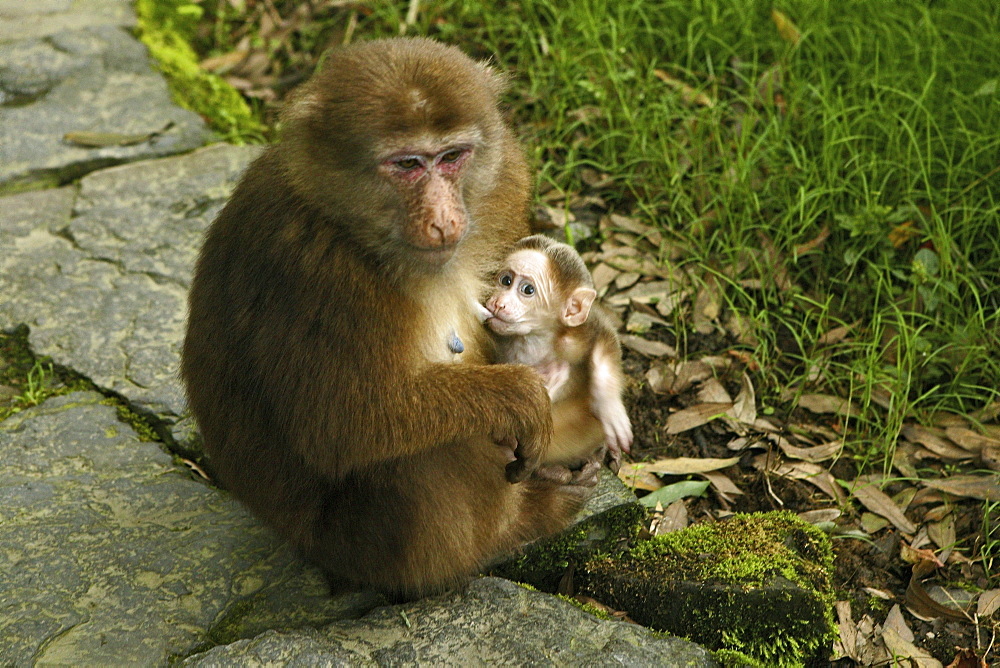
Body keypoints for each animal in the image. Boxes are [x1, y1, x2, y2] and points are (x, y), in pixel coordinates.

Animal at [180, 37, 588, 600]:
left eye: (453, 157)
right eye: (408, 164)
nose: (444, 219)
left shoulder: (506, 181)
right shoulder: (318, 269)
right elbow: (343, 424)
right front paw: (520, 397)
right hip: (359, 547)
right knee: (416, 454)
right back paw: (518, 525)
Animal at [478, 235, 632, 474]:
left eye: (527, 290)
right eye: (506, 280)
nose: (498, 303)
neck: (533, 338)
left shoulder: (574, 337)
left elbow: (604, 337)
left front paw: (609, 404)